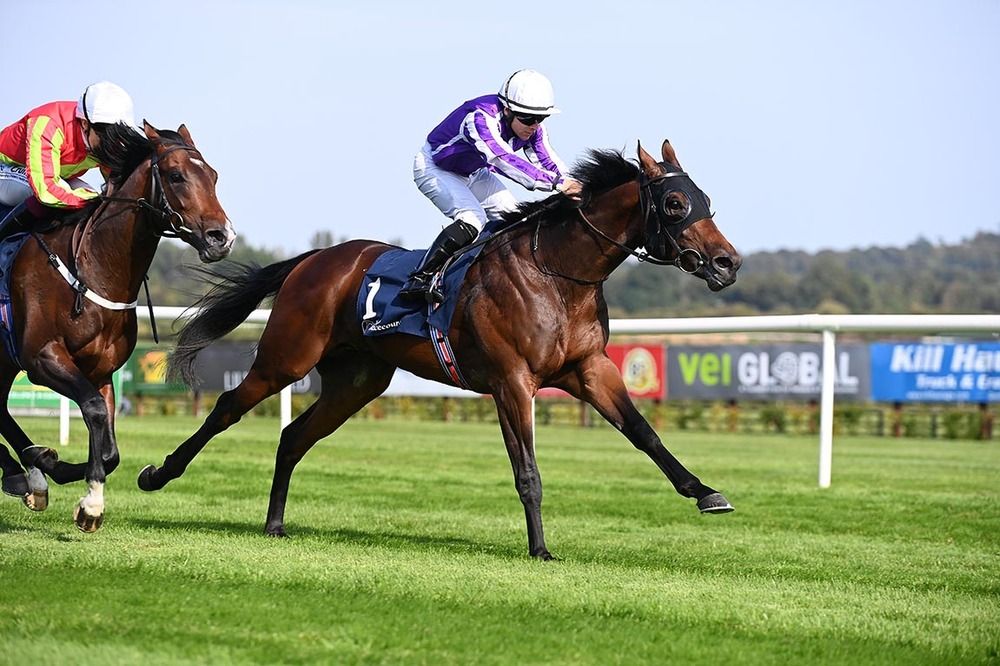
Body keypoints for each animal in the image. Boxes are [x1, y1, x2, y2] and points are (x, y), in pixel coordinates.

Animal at [0, 122, 236, 532]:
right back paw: (24, 472)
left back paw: (26, 475)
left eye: (214, 176)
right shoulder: (42, 358)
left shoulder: (101, 370)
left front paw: (68, 481)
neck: (93, 269)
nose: (221, 237)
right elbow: (94, 411)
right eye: (175, 175)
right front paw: (82, 493)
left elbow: (110, 451)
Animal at [137, 139, 740, 556]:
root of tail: (316, 260)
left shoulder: (589, 370)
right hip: (287, 356)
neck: (557, 274)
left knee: (292, 437)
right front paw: (541, 548)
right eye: (676, 203)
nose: (728, 262)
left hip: (357, 381)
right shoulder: (512, 381)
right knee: (226, 408)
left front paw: (706, 492)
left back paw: (275, 523)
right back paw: (158, 475)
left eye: (707, 199)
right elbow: (528, 471)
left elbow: (644, 433)